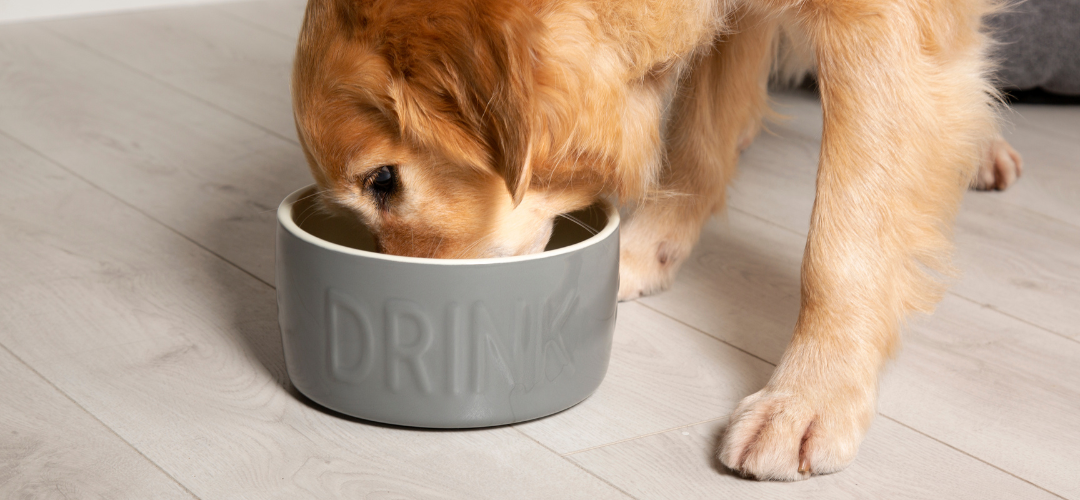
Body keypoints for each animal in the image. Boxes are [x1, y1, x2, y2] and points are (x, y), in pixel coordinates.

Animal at [293, 0, 1019, 481]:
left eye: (384, 181)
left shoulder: (878, 26)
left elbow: (843, 236)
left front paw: (811, 395)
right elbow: (697, 135)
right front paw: (649, 249)